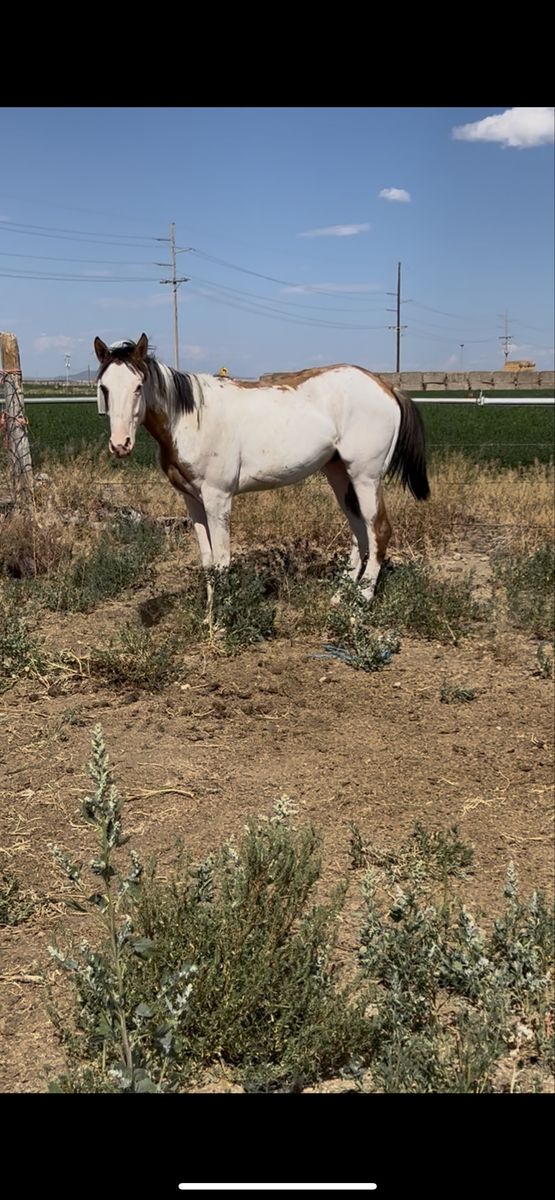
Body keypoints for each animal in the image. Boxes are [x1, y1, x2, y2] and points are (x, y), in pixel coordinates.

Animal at [94, 334, 429, 601]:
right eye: (104, 388)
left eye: (139, 386)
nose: (120, 444)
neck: (191, 418)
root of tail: (387, 387)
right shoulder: (192, 500)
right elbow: (207, 560)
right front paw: (208, 616)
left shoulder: (218, 499)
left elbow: (222, 560)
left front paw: (223, 622)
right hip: (339, 475)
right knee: (360, 532)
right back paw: (338, 597)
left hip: (366, 477)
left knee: (379, 531)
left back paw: (361, 603)